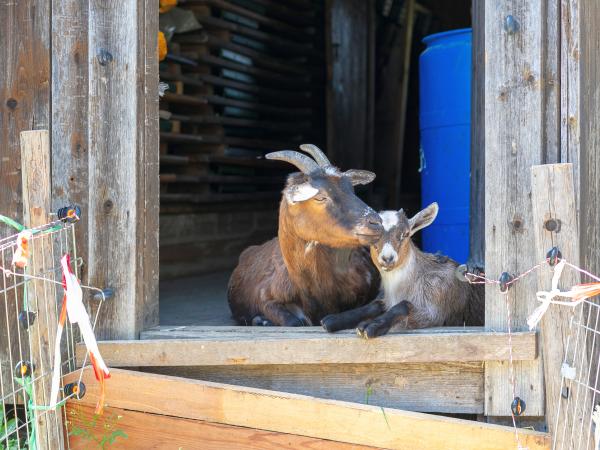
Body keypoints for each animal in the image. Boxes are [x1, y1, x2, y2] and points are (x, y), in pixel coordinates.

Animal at [227, 146, 382, 326]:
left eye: (352, 190)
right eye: (320, 197)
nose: (376, 222)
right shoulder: (265, 295)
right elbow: (292, 321)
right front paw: (262, 320)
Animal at [322, 203, 486, 338]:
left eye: (406, 233)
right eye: (371, 236)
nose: (388, 258)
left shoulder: (435, 306)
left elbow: (404, 305)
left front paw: (370, 326)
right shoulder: (385, 297)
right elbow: (375, 305)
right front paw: (333, 319)